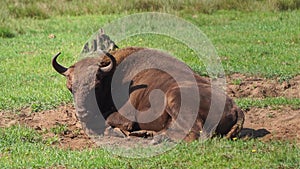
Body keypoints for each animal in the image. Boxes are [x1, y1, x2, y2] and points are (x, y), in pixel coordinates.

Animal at [51, 46, 244, 143]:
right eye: (70, 87)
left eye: (96, 86)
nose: (82, 112)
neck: (113, 76)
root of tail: (236, 108)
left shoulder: (126, 116)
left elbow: (108, 120)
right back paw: (148, 135)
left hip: (175, 97)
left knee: (196, 133)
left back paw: (156, 139)